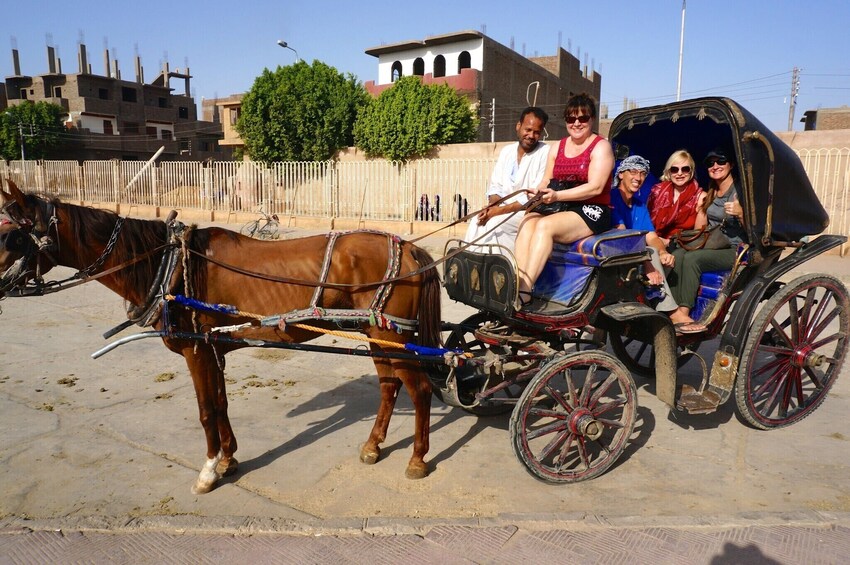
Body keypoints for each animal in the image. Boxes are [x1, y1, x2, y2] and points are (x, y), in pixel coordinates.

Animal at [0, 178, 438, 492]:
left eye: (12, 236)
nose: (0, 286)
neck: (169, 264)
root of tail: (410, 249)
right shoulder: (213, 348)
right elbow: (222, 404)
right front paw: (229, 459)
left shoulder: (196, 350)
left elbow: (206, 409)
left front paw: (209, 469)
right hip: (378, 335)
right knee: (389, 386)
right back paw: (373, 446)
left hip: (391, 337)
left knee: (418, 389)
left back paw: (417, 459)